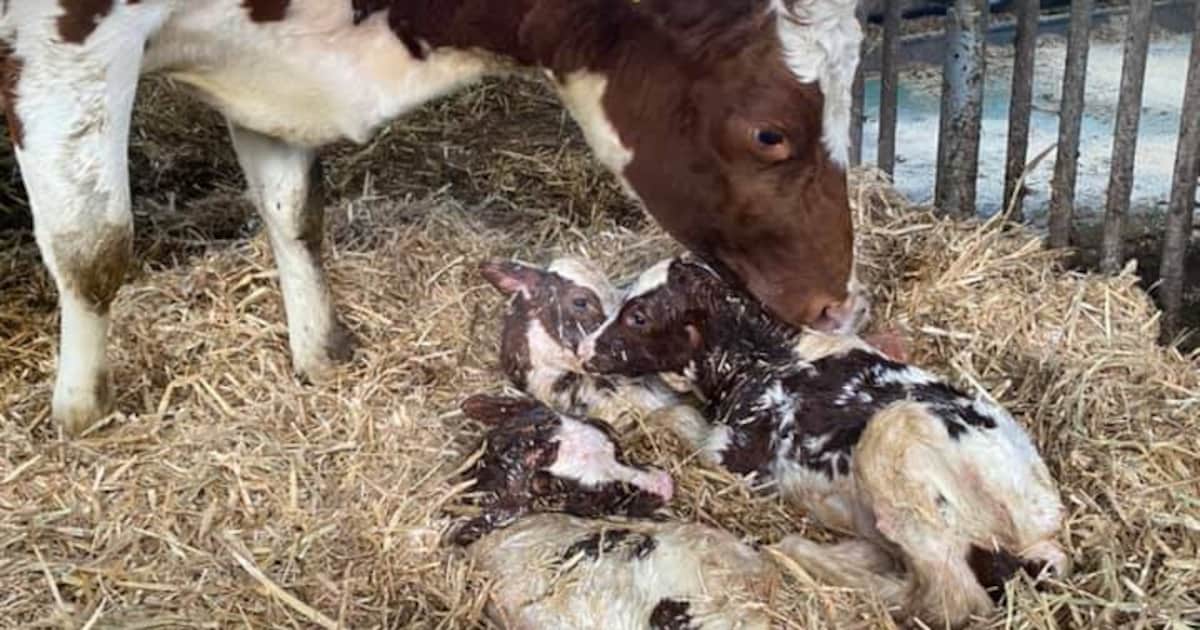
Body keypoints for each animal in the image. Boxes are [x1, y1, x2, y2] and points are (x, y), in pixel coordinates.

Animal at [0, 0, 866, 434]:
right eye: (770, 133)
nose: (838, 302)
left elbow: (294, 212)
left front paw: (320, 356)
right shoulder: (64, 39)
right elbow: (93, 247)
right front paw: (81, 414)